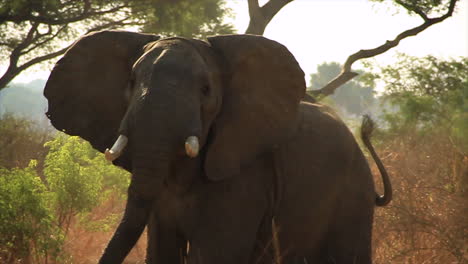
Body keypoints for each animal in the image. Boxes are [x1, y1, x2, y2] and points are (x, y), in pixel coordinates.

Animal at [44, 29, 392, 262]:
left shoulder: (243, 176)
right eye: (130, 83)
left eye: (206, 90)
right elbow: (162, 251)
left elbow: (213, 254)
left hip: (352, 195)